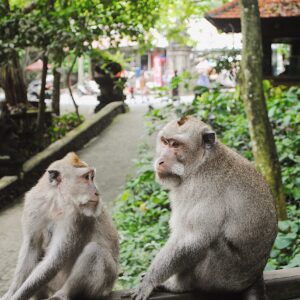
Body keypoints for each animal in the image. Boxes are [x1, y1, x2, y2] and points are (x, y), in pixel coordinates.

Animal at [1, 152, 120, 300]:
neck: (57, 201)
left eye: (92, 177)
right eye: (86, 177)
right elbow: (32, 246)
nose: (97, 192)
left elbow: (56, 258)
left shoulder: (76, 218)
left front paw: (17, 296)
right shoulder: (33, 204)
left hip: (106, 283)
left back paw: (64, 294)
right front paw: (11, 292)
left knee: (95, 251)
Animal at [132, 115, 278, 300]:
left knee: (209, 244)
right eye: (165, 142)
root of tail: (254, 277)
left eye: (175, 145)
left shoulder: (199, 188)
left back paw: (177, 286)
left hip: (224, 277)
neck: (202, 162)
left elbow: (193, 238)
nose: (160, 161)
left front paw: (150, 280)